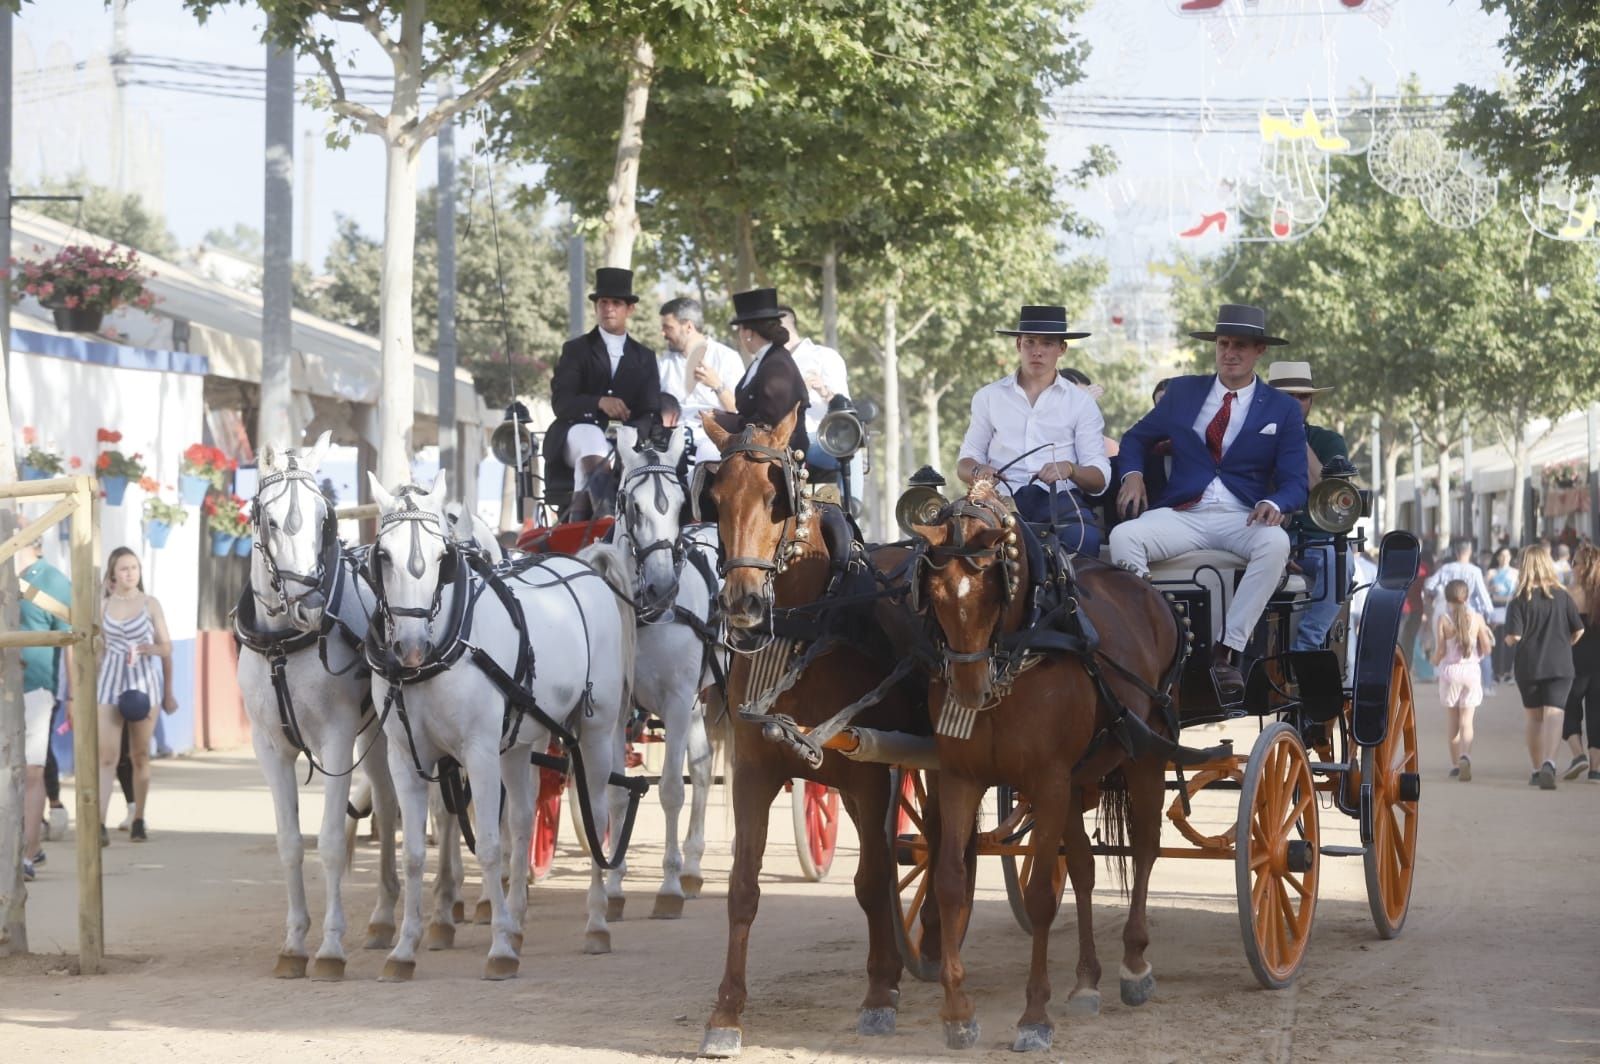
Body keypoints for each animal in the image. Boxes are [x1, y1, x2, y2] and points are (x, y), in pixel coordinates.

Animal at [235, 435, 400, 979]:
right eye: (267, 519)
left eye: (323, 518)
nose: (308, 605)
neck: (283, 645)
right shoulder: (269, 747)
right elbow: (289, 844)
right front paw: (293, 944)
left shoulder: (336, 739)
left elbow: (328, 842)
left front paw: (329, 947)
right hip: (377, 736)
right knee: (388, 808)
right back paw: (384, 917)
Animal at [366, 473, 633, 979]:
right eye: (383, 555)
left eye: (441, 558)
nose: (410, 647)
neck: (443, 648)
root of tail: (585, 568)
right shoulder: (405, 756)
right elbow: (414, 855)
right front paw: (404, 949)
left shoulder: (479, 752)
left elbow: (489, 844)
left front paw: (500, 951)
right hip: (519, 742)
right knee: (526, 821)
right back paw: (518, 921)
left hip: (594, 731)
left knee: (598, 815)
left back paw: (597, 923)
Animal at [694, 406, 934, 1056]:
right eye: (715, 498)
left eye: (777, 497)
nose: (744, 604)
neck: (810, 631)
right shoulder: (753, 774)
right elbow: (742, 889)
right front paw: (726, 1013)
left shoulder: (868, 779)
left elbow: (872, 881)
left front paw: (878, 996)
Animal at [915, 483, 1203, 1056]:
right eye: (934, 595)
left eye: (993, 590)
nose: (969, 692)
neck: (1026, 644)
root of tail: (1147, 589)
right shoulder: (960, 778)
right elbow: (951, 882)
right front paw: (957, 1013)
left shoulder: (1047, 782)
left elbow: (1041, 897)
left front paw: (1033, 1016)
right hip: (1078, 779)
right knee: (1088, 867)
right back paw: (1087, 980)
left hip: (1145, 754)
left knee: (1145, 847)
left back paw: (1134, 964)